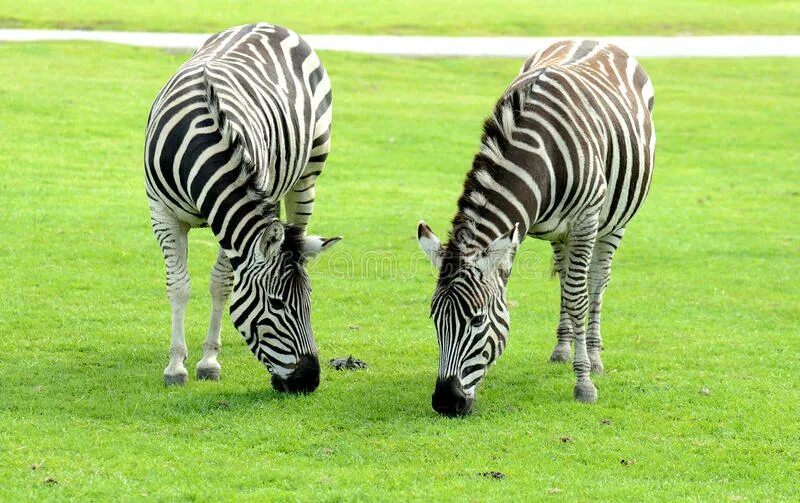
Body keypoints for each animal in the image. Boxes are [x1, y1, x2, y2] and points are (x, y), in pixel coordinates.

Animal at [145, 23, 340, 394]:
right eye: (277, 304)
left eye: (309, 301)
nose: (309, 381)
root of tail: (271, 24)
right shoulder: (162, 213)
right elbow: (178, 286)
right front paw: (176, 365)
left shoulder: (231, 227)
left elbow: (221, 285)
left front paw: (209, 360)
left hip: (308, 175)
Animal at [418, 40, 656, 418]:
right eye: (435, 320)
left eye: (477, 321)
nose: (445, 402)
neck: (537, 152)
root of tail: (596, 40)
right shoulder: (530, 227)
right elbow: (564, 290)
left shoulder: (585, 219)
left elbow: (578, 299)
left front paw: (584, 383)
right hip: (559, 232)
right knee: (566, 279)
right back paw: (563, 348)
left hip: (613, 221)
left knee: (596, 282)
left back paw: (594, 355)